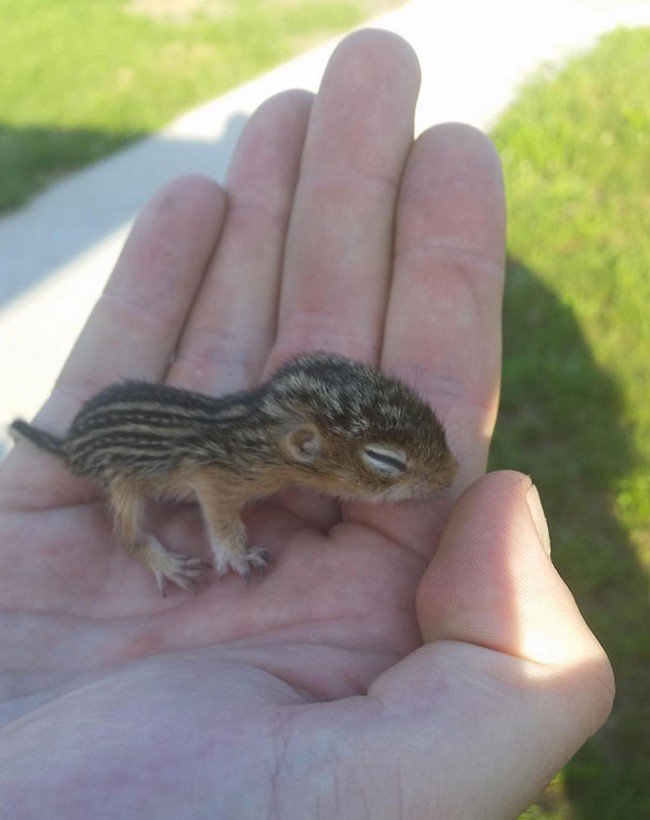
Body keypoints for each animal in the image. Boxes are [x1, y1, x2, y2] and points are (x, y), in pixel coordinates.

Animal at [10, 350, 456, 592]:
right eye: (386, 460)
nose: (452, 474)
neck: (255, 428)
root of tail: (70, 445)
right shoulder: (216, 477)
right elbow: (219, 516)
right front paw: (238, 555)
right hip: (122, 486)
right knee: (128, 536)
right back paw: (168, 565)